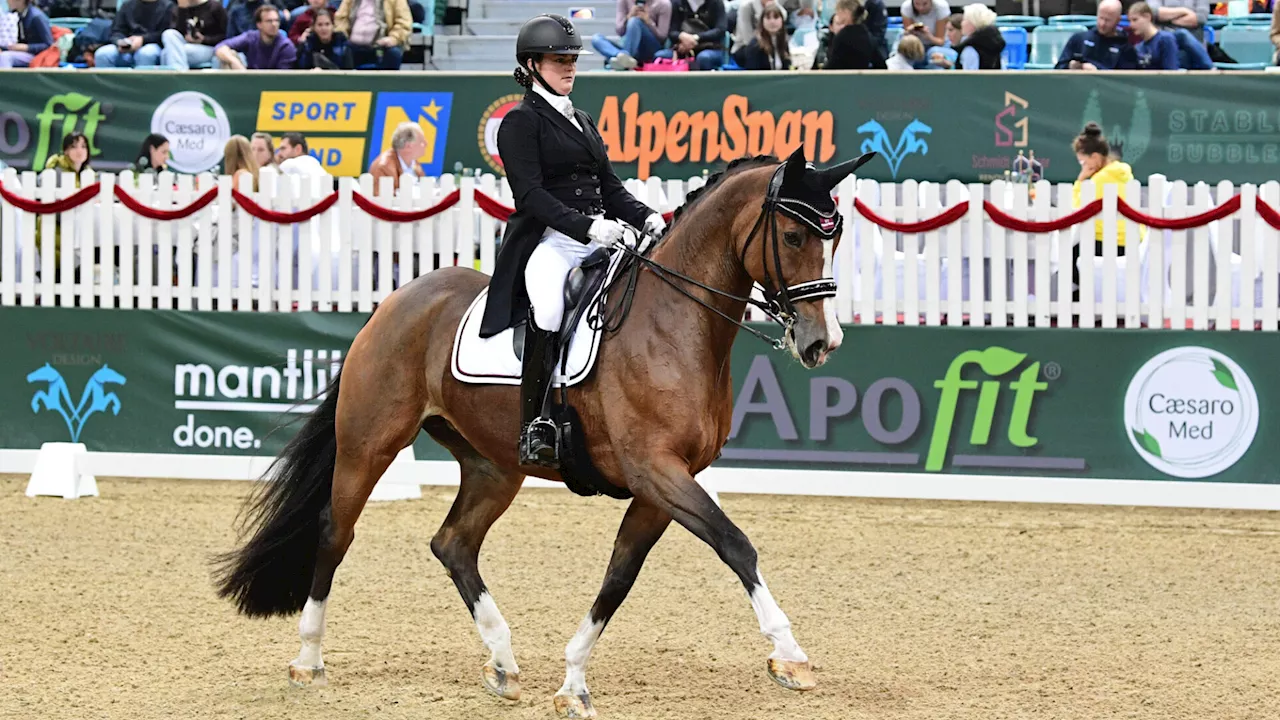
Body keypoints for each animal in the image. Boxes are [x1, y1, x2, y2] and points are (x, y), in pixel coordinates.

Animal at [215, 147, 870, 717]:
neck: (675, 323)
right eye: (794, 237)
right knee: (336, 531)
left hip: (493, 466)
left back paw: (503, 663)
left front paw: (573, 681)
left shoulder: (662, 485)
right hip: (369, 444)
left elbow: (619, 576)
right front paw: (789, 656)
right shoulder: (655, 471)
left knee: (453, 544)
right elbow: (736, 545)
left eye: (835, 236)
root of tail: (396, 301)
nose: (823, 342)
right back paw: (308, 659)